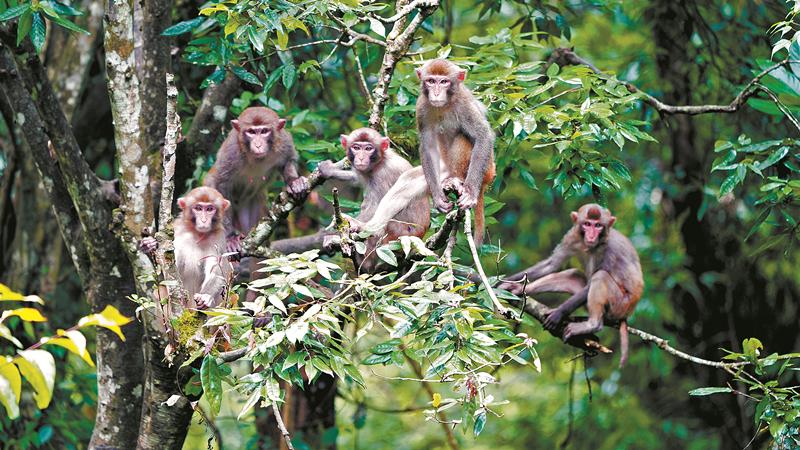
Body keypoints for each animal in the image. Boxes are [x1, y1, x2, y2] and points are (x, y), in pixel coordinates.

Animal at [203, 106, 310, 253]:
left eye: (264, 131)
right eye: (251, 132)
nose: (258, 145)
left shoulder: (284, 141)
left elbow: (288, 161)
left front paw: (294, 182)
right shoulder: (231, 151)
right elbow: (218, 182)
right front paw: (230, 237)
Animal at [318, 128, 432, 272]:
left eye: (368, 148)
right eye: (356, 147)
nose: (361, 158)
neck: (380, 161)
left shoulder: (382, 175)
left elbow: (376, 206)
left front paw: (353, 226)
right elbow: (357, 178)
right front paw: (329, 170)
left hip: (400, 238)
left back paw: (366, 264)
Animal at [500, 206, 644, 368]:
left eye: (598, 225)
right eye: (587, 224)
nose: (591, 235)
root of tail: (627, 313)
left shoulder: (608, 250)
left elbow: (591, 282)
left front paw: (558, 314)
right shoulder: (571, 237)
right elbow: (552, 265)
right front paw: (500, 284)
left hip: (619, 304)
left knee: (600, 276)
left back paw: (592, 325)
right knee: (572, 275)